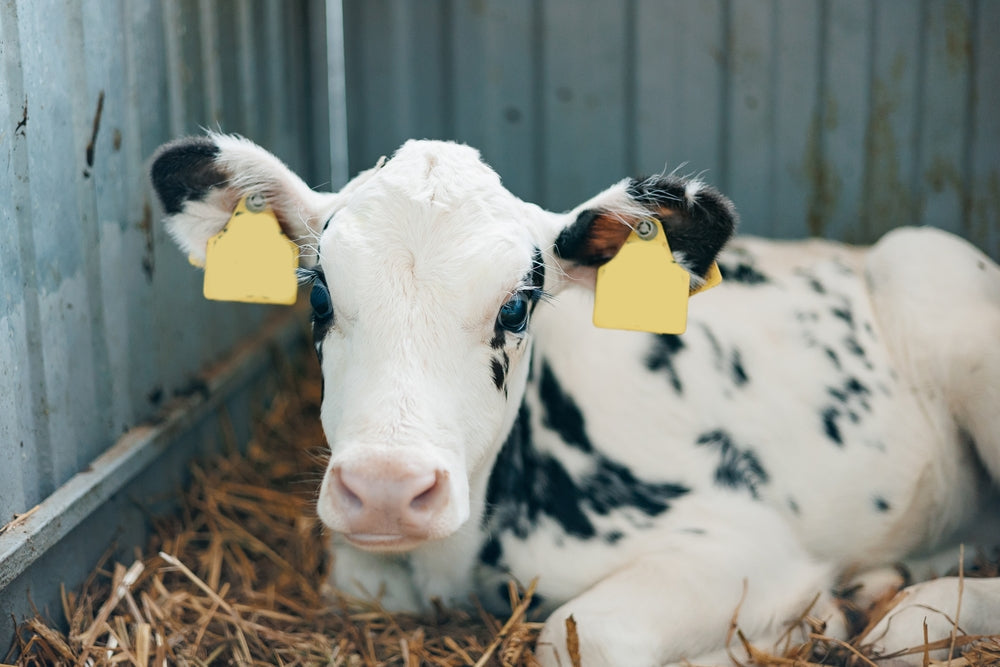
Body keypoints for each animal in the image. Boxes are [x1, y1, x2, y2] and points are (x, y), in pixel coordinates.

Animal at [150, 134, 1000, 666]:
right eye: (321, 293)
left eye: (515, 307)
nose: (388, 488)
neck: (460, 560)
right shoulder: (360, 570)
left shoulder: (745, 539)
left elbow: (577, 631)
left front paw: (812, 619)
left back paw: (909, 614)